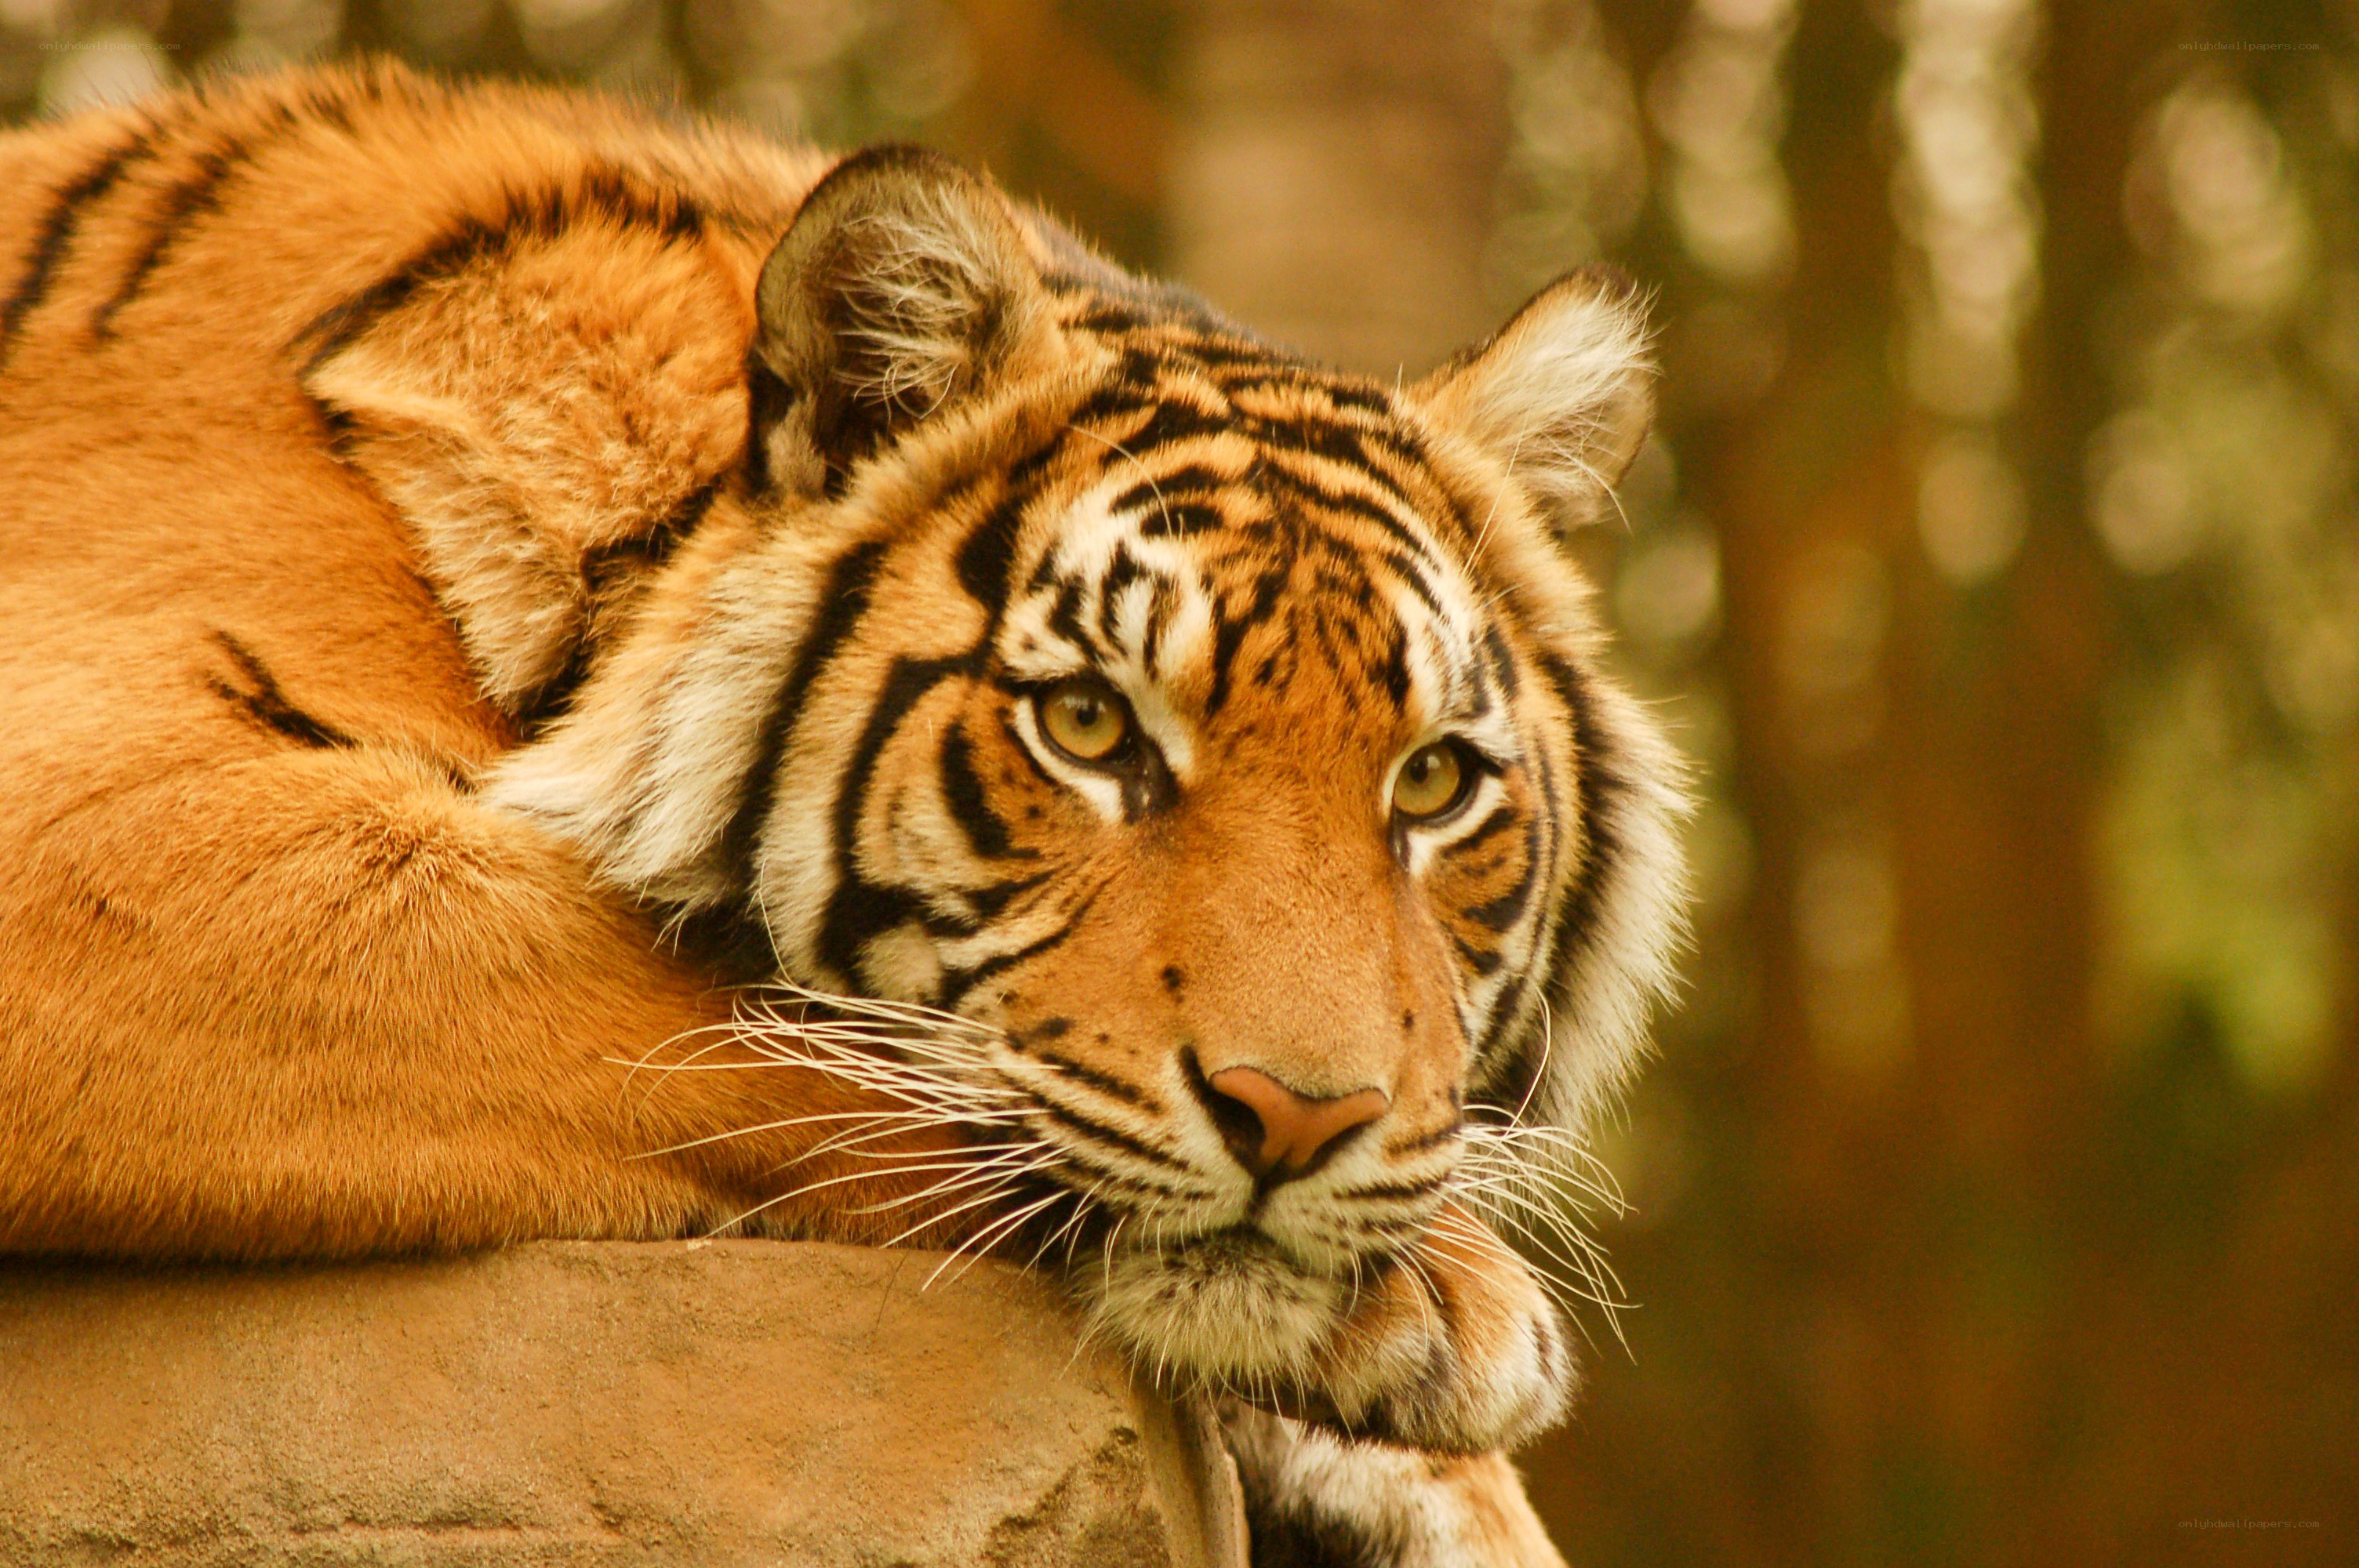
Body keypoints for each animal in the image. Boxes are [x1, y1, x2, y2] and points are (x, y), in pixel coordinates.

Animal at [0, 62, 1687, 1566]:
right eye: (1088, 724)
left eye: (1431, 781)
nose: (1300, 1121)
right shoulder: (91, 820)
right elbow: (736, 1020)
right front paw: (1450, 1300)